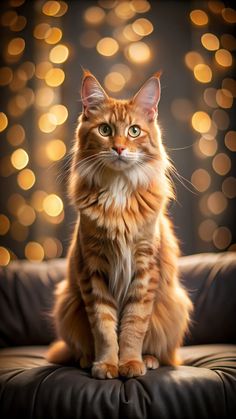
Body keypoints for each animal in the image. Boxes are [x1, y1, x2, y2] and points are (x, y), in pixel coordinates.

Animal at [47, 70, 193, 378]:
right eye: (104, 130)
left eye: (134, 131)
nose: (119, 148)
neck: (118, 190)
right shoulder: (93, 269)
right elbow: (103, 327)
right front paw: (106, 364)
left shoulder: (145, 268)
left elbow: (133, 326)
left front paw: (130, 363)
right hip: (67, 304)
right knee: (77, 348)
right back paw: (85, 360)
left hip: (176, 304)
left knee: (164, 353)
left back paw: (148, 359)